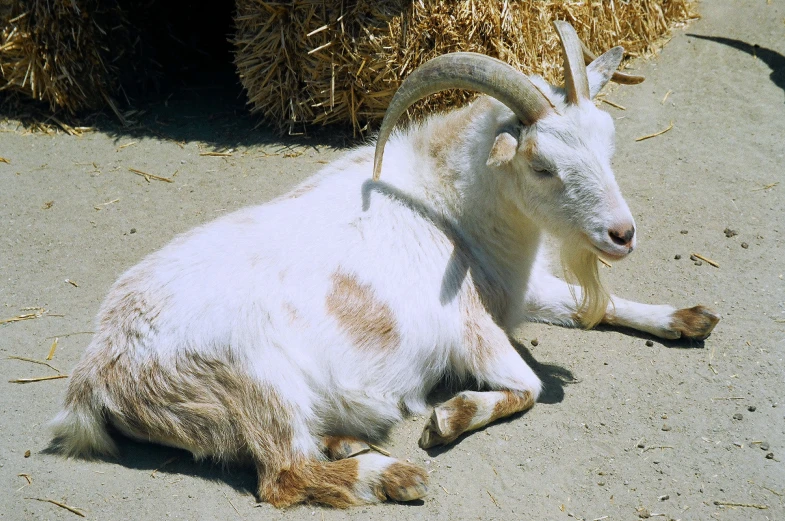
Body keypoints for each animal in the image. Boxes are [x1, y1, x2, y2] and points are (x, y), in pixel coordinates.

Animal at [52, 22, 720, 506]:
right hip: (255, 382)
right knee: (283, 476)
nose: (621, 234)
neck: (447, 207)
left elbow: (595, 309)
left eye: (609, 147)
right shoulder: (469, 325)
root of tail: (97, 373)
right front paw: (449, 417)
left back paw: (347, 442)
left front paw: (689, 318)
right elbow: (527, 386)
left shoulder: (514, 290)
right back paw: (394, 475)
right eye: (542, 166)